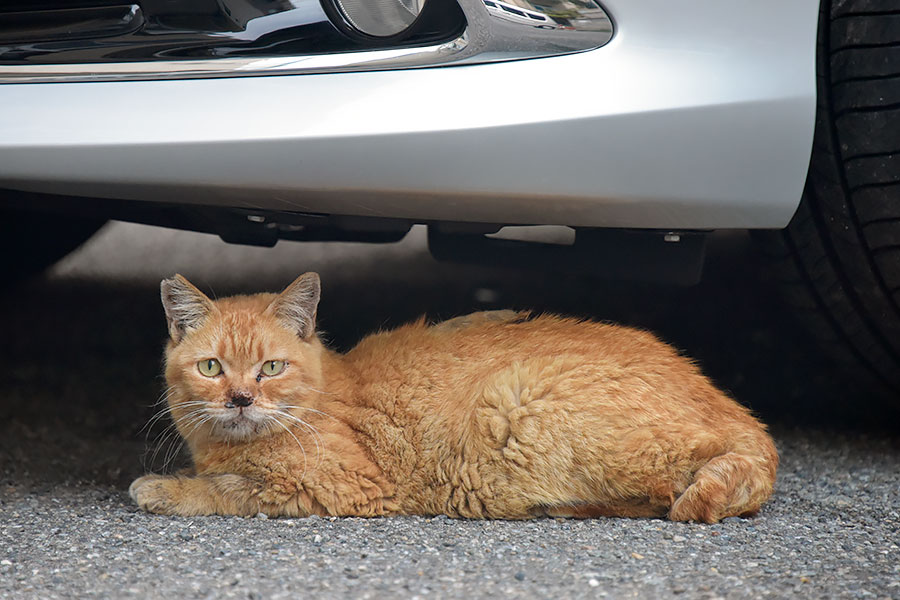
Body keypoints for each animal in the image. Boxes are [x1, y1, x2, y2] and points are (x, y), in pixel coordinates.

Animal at [130, 272, 776, 520]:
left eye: (270, 368)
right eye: (211, 367)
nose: (240, 399)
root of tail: (741, 415)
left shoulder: (342, 487)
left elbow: (228, 490)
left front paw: (161, 488)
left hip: (519, 404)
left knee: (671, 492)